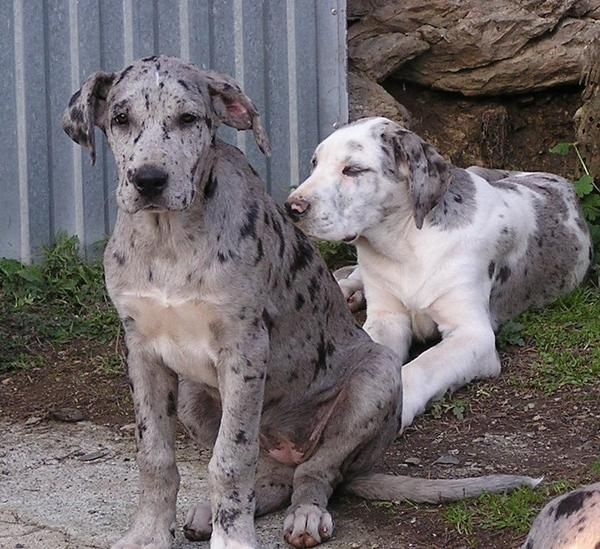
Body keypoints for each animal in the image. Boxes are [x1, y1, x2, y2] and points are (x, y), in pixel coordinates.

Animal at [64, 60, 540, 548]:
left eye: (188, 119)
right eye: (120, 119)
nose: (149, 180)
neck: (168, 239)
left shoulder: (244, 350)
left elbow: (229, 460)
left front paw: (233, 539)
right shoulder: (142, 351)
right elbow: (155, 455)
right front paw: (148, 534)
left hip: (377, 378)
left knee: (317, 472)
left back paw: (306, 515)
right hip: (196, 392)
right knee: (272, 477)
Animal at [286, 117, 592, 430]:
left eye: (353, 169)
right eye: (314, 163)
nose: (292, 207)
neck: (405, 243)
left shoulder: (472, 335)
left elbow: (423, 366)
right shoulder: (387, 317)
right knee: (352, 274)